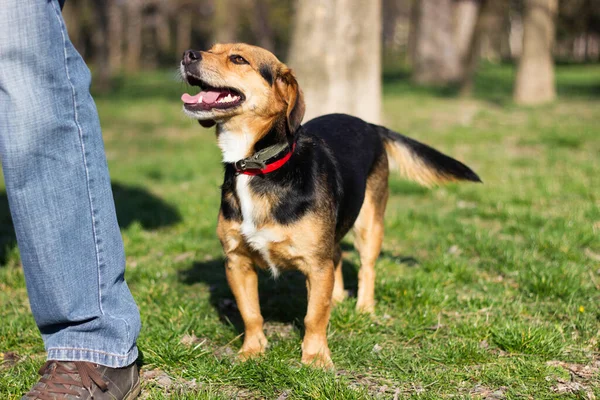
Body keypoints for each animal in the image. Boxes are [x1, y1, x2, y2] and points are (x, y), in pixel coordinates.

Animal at [180, 43, 480, 368]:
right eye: (211, 49)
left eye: (238, 59)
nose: (188, 55)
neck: (256, 166)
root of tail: (369, 124)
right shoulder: (237, 261)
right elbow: (251, 314)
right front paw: (252, 350)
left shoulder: (315, 263)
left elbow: (314, 316)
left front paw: (315, 357)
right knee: (336, 256)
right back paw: (336, 298)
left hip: (369, 224)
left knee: (366, 268)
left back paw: (364, 308)